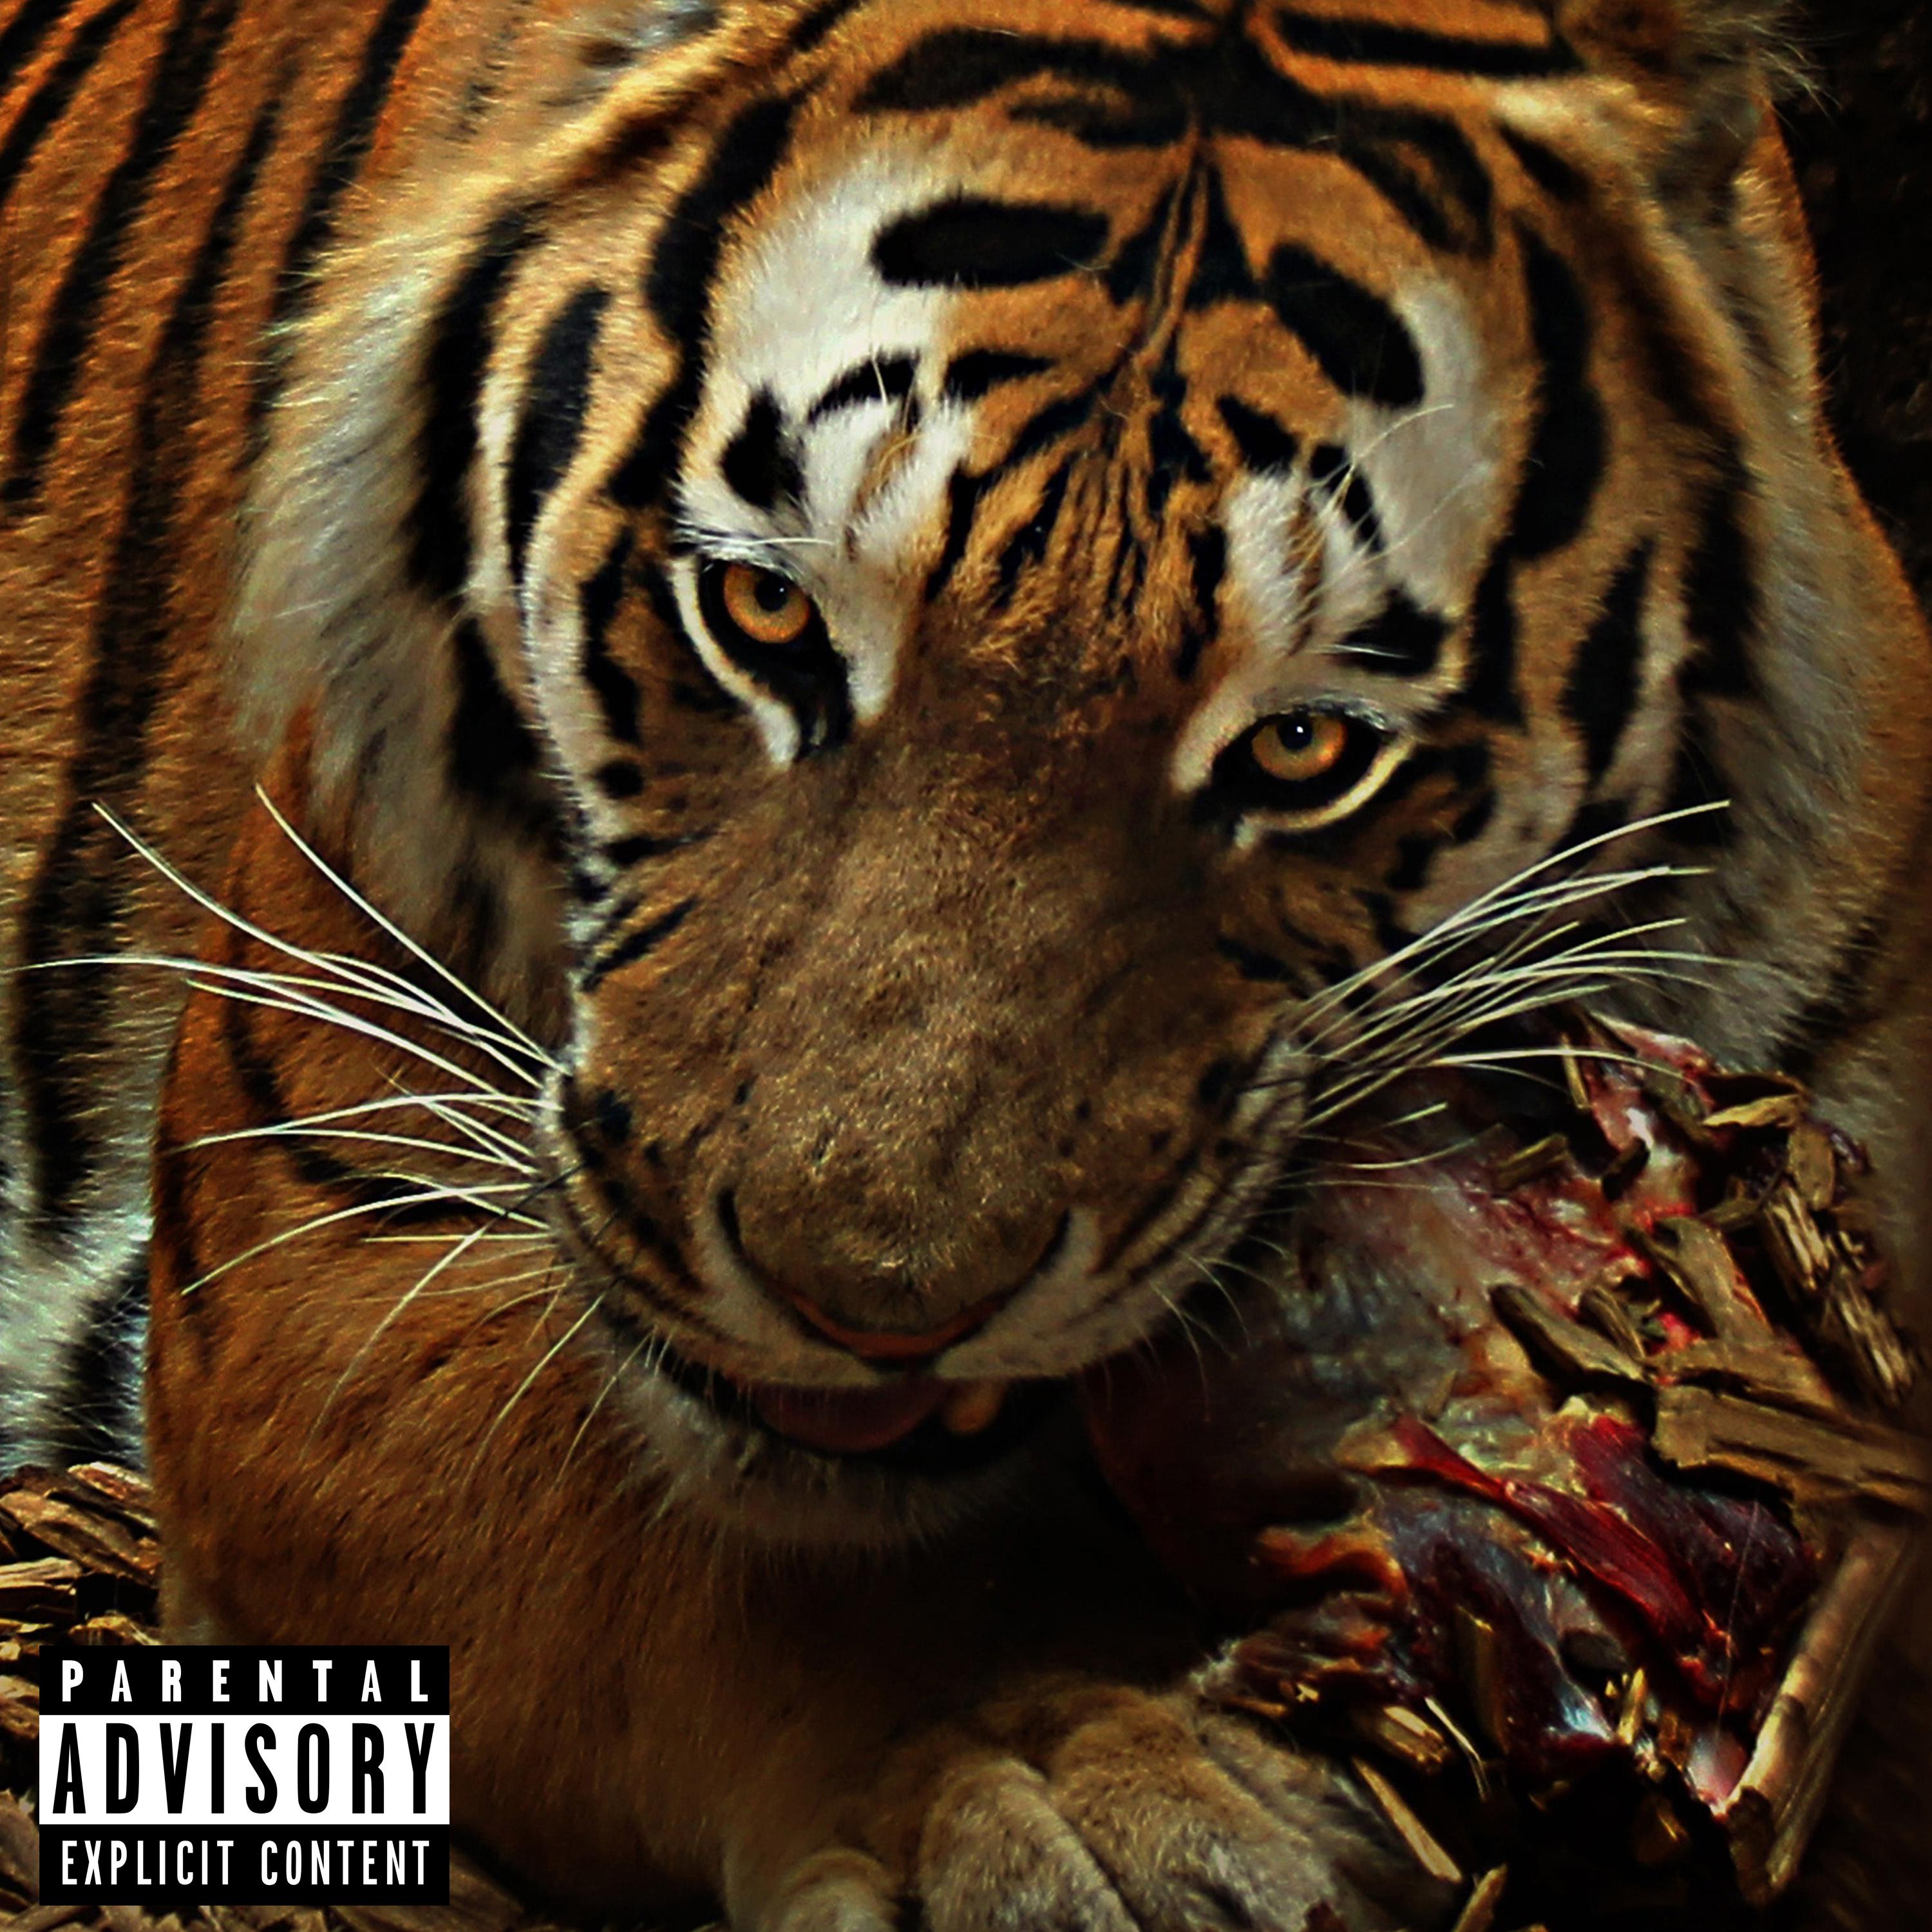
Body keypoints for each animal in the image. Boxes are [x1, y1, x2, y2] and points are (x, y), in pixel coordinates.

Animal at [2, 0, 1930, 1923]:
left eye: (1303, 746)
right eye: (763, 612)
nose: (875, 1314)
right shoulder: (309, 1240)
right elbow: (761, 1573)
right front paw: (1064, 1796)